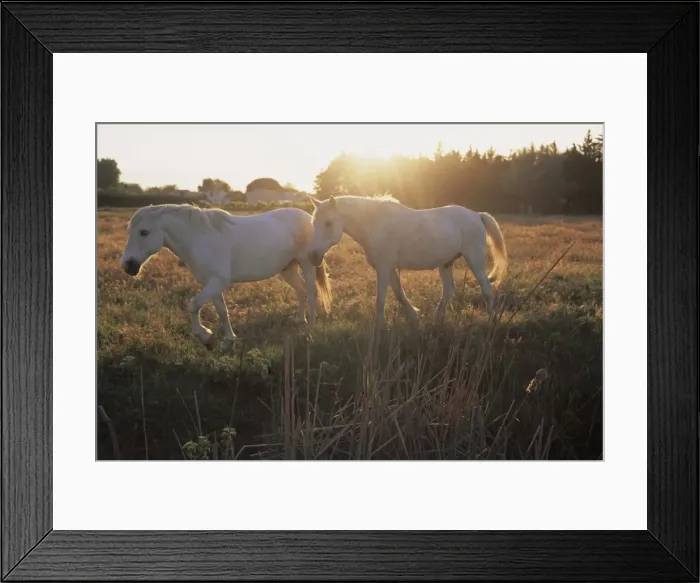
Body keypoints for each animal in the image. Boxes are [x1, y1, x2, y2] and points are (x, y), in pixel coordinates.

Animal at [120, 203, 332, 349]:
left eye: (144, 232)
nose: (128, 265)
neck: (199, 238)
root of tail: (308, 217)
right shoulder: (212, 283)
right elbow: (222, 311)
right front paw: (229, 339)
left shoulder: (218, 281)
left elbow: (193, 305)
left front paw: (205, 336)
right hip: (288, 269)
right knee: (302, 291)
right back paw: (299, 320)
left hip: (307, 263)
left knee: (311, 292)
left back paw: (310, 329)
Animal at [307, 194, 507, 328]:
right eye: (313, 224)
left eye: (328, 223)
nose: (313, 256)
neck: (374, 225)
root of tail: (477, 215)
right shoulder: (388, 268)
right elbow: (399, 294)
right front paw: (414, 317)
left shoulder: (384, 268)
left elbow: (380, 300)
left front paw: (379, 329)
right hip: (446, 264)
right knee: (448, 291)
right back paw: (437, 320)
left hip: (474, 260)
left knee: (487, 289)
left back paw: (491, 320)